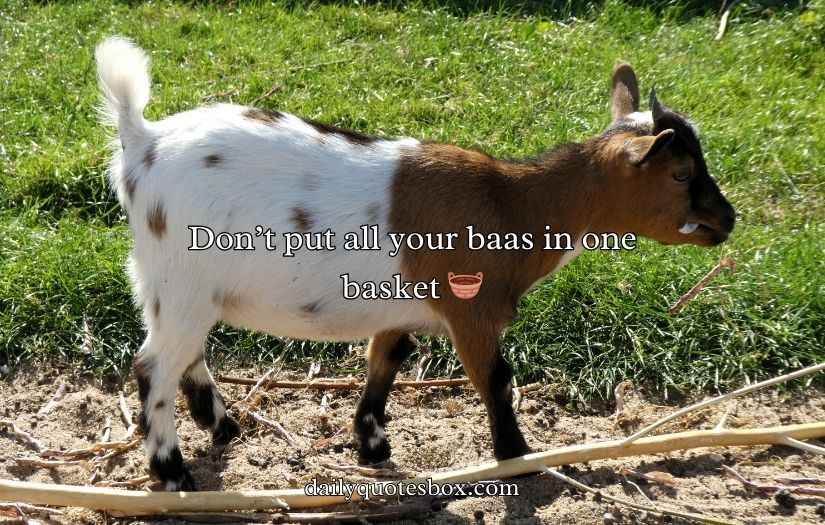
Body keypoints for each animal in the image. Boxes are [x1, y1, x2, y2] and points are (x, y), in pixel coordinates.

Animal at [95, 37, 735, 490]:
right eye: (682, 174)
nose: (727, 220)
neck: (513, 203)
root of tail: (142, 144)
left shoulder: (399, 308)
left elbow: (387, 361)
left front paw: (372, 445)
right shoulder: (471, 309)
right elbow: (495, 378)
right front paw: (517, 459)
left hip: (170, 286)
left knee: (184, 355)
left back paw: (223, 425)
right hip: (183, 283)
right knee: (152, 367)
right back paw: (174, 471)